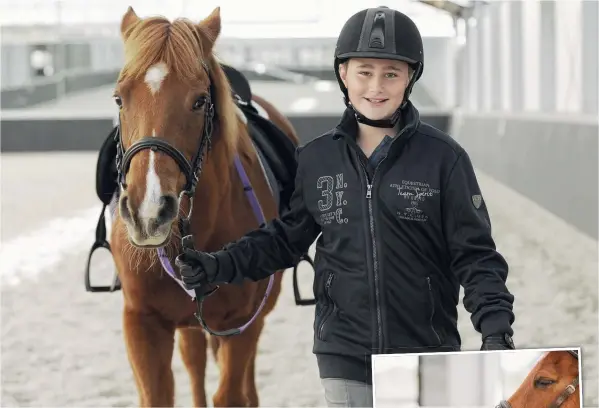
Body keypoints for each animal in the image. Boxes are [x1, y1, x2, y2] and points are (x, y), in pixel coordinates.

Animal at [109, 4, 298, 406]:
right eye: (119, 98)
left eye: (199, 101)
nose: (148, 212)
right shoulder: (141, 322)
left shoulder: (241, 323)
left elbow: (230, 393)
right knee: (194, 362)